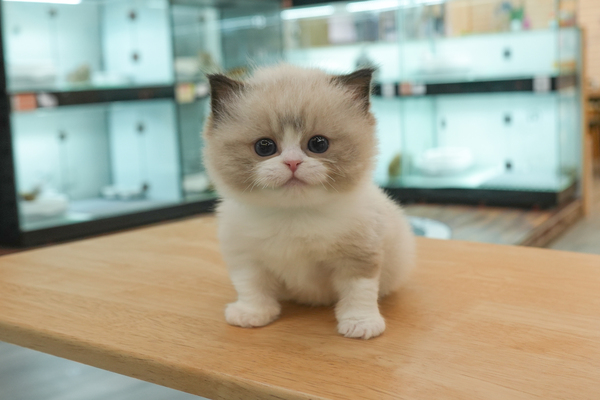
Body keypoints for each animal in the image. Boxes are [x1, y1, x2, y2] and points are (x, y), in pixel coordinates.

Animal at [202, 64, 415, 339]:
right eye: (264, 146)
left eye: (318, 143)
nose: (292, 162)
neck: (293, 215)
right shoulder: (245, 256)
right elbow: (251, 286)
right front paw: (253, 314)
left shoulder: (358, 256)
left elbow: (359, 292)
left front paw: (361, 323)